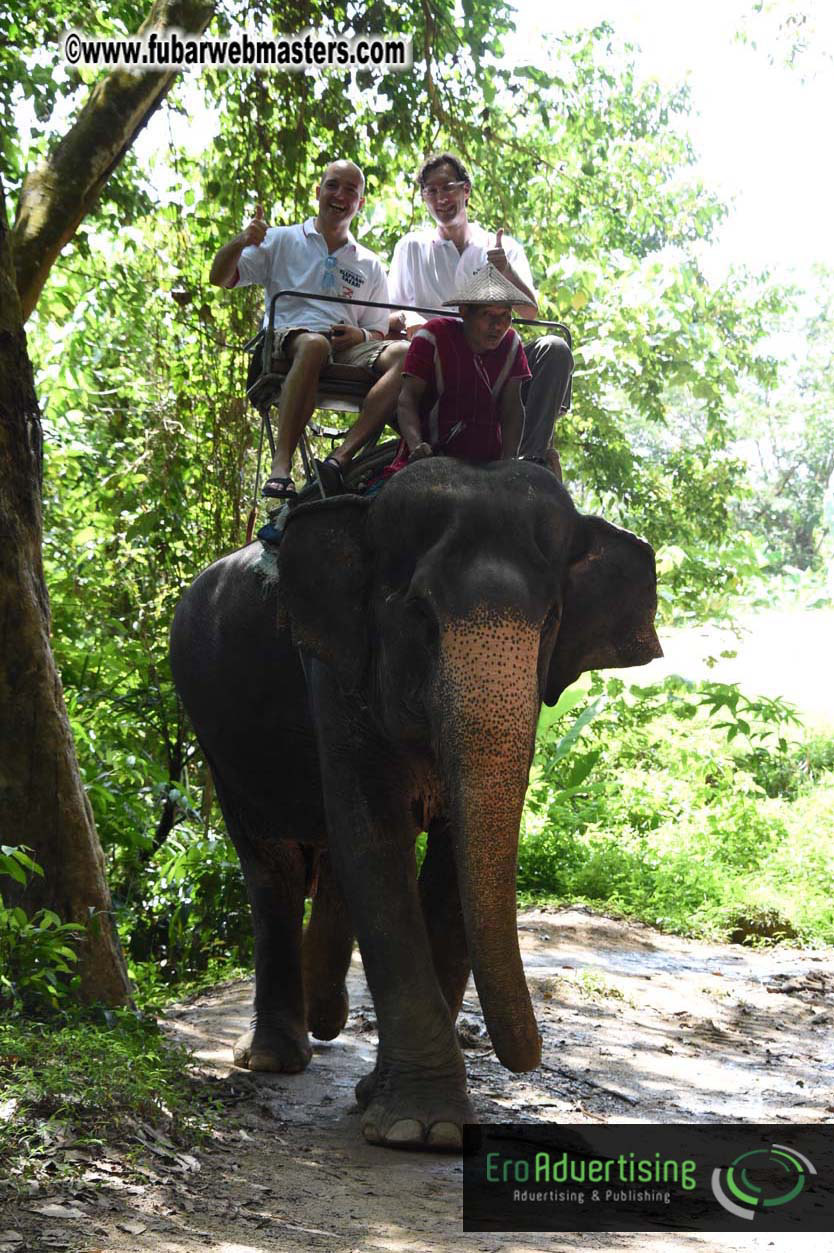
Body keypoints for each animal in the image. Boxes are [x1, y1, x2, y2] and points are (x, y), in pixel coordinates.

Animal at [169, 457, 661, 1150]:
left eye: (552, 620)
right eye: (421, 614)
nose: (525, 1057)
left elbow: (450, 862)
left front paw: (385, 1102)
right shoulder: (332, 666)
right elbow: (375, 842)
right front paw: (417, 1129)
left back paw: (325, 1021)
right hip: (215, 733)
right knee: (275, 868)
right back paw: (274, 1057)